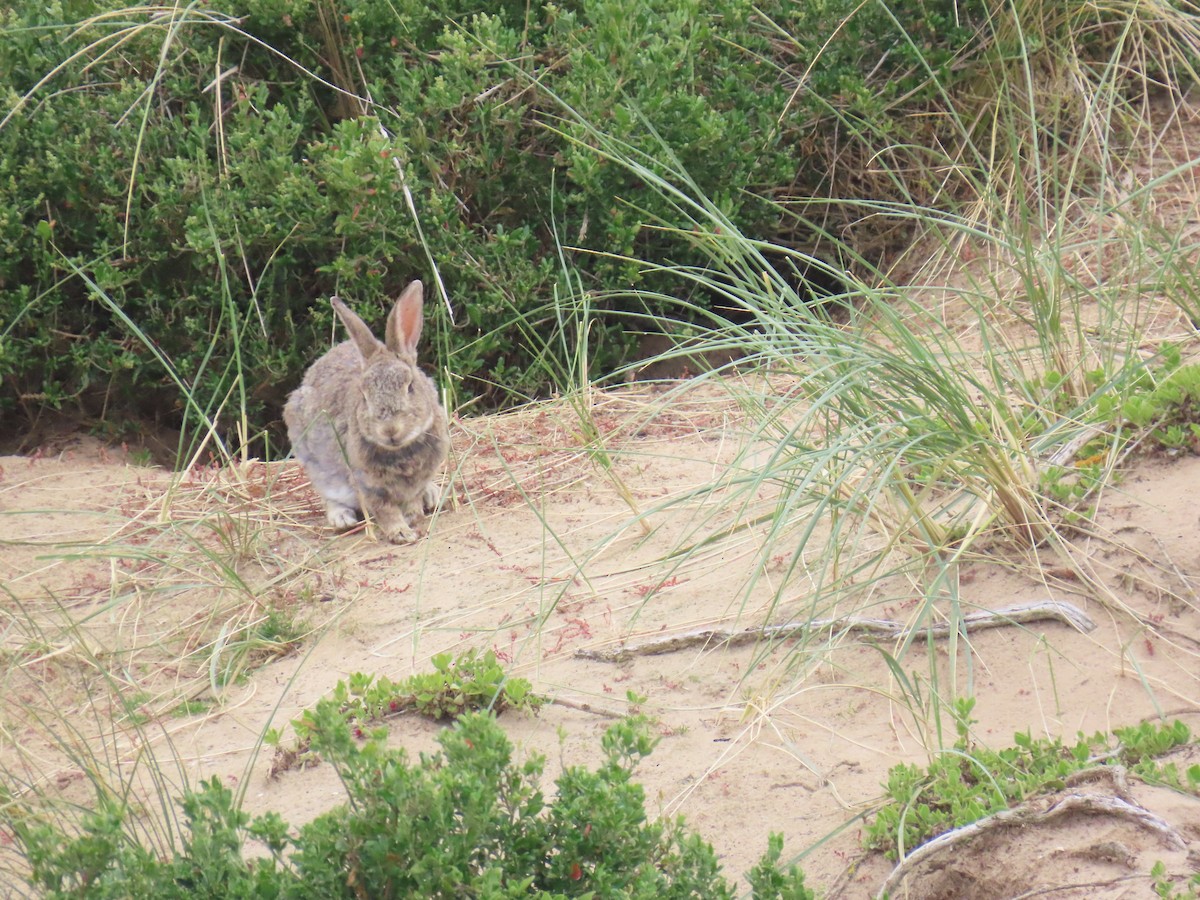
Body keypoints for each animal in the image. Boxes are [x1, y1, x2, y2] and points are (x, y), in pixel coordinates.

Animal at [283, 280, 449, 543]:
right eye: (364, 395)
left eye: (410, 386)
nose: (390, 430)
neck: (399, 451)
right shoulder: (366, 483)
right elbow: (385, 510)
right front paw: (401, 532)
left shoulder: (418, 479)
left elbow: (412, 499)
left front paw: (412, 519)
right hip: (315, 462)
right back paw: (341, 519)